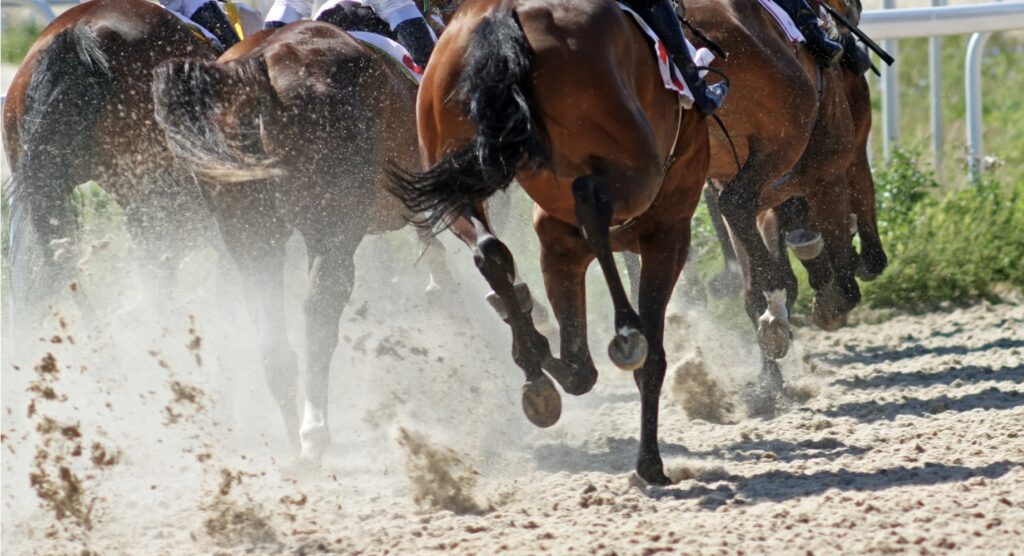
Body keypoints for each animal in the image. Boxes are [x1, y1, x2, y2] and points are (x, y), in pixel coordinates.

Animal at [149, 19, 454, 458]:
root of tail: (256, 69)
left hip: (251, 235)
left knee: (269, 326)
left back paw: (294, 438)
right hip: (332, 229)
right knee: (319, 310)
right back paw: (314, 432)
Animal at [389, 0, 712, 483]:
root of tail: (499, 14)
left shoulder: (558, 243)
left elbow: (579, 370)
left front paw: (535, 351)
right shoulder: (669, 232)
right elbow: (647, 359)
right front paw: (650, 463)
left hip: (452, 165)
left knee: (490, 249)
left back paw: (532, 358)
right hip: (636, 169)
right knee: (590, 201)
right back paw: (624, 331)